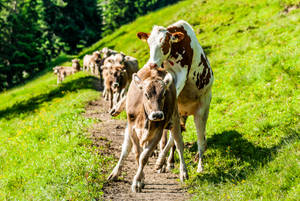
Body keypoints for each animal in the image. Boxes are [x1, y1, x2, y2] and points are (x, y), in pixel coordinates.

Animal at [137, 19, 214, 172]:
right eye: (149, 43)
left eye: (164, 43)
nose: (152, 64)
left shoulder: (182, 75)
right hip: (180, 112)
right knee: (174, 134)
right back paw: (167, 160)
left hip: (202, 111)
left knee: (200, 140)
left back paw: (199, 165)